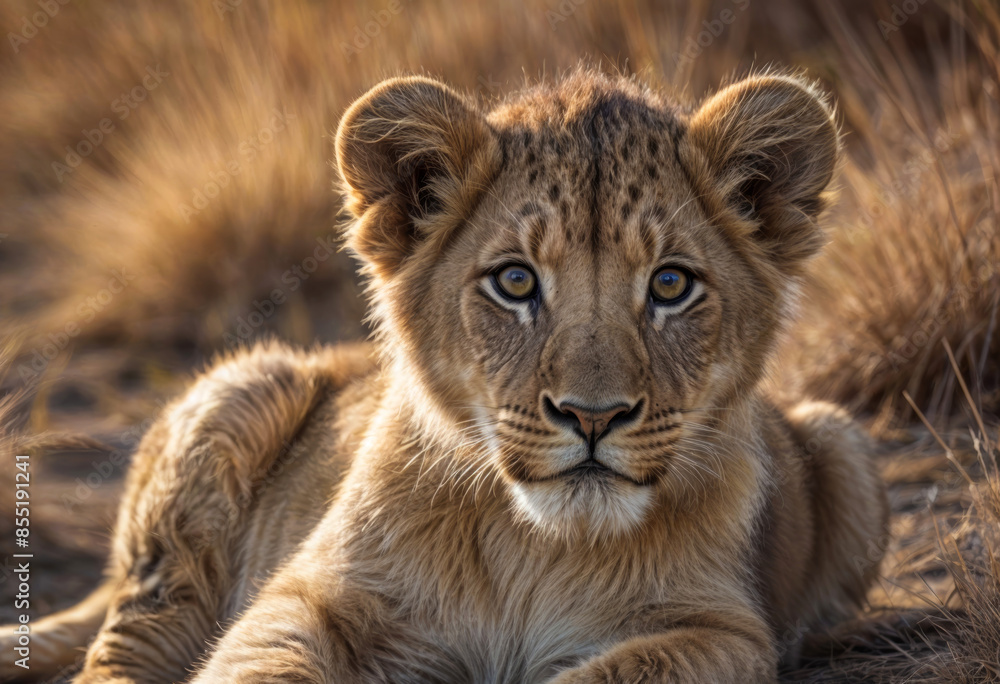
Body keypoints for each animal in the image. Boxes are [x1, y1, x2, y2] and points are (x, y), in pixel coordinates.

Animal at [3, 69, 888, 683]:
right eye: (516, 281)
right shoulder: (306, 596)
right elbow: (264, 659)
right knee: (120, 652)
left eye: (671, 284)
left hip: (843, 445)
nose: (593, 416)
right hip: (241, 393)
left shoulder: (723, 631)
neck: (536, 544)